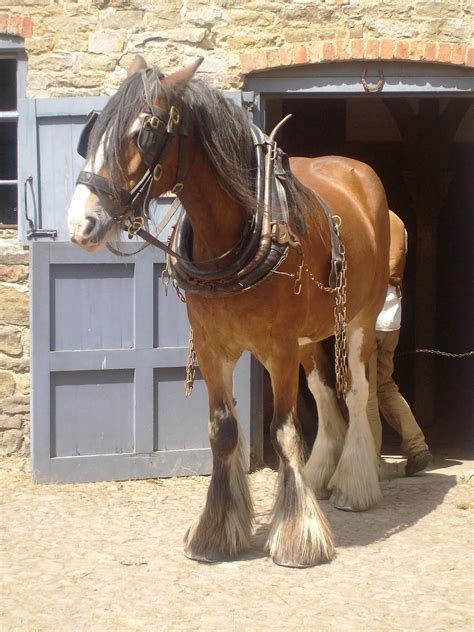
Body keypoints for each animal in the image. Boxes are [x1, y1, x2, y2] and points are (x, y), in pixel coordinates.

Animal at [68, 55, 390, 568]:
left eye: (144, 132)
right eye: (92, 133)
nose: (82, 223)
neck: (237, 233)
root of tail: (357, 173)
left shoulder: (278, 349)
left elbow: (283, 432)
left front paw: (298, 538)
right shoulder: (212, 346)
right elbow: (223, 431)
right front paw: (216, 531)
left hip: (359, 319)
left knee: (355, 393)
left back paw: (353, 485)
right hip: (307, 338)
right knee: (323, 393)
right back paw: (321, 473)